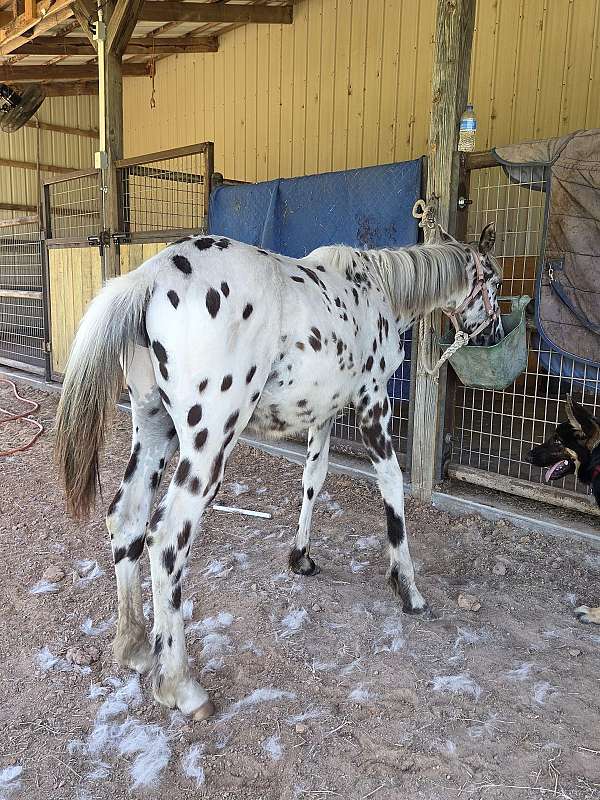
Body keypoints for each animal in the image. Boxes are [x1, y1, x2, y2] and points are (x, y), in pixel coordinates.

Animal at [55, 222, 502, 719]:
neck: (377, 288)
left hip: (154, 429)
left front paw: (301, 557)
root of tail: (148, 278)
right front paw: (407, 588)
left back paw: (133, 646)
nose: (493, 334)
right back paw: (181, 686)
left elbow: (314, 478)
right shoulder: (372, 402)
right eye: (495, 281)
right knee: (167, 539)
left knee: (127, 518)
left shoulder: (324, 414)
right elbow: (391, 482)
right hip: (208, 444)